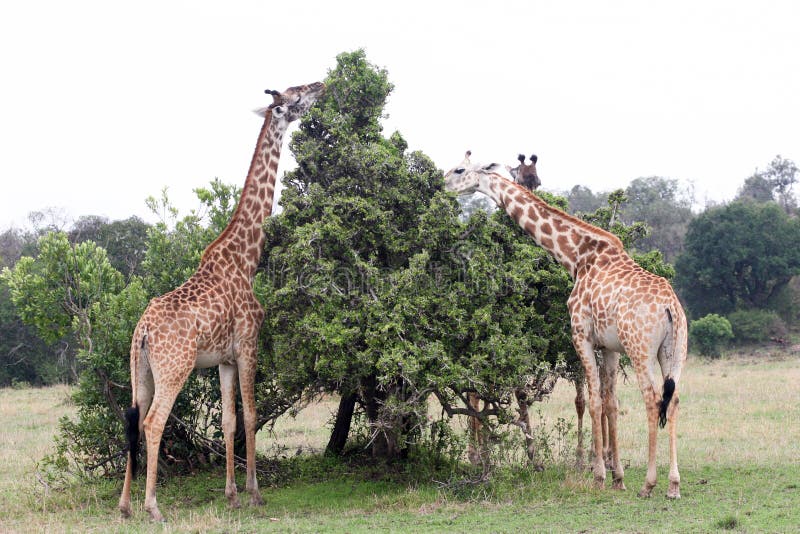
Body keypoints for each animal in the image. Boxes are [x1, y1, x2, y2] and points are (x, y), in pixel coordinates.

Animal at [117, 81, 324, 520]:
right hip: (174, 368)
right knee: (154, 422)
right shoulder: (248, 344)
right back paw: (152, 506)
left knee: (133, 419)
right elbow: (252, 416)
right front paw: (255, 492)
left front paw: (231, 494)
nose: (321, 85)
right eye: (296, 95)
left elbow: (229, 421)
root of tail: (142, 330)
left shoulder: (224, 359)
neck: (247, 258)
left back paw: (125, 505)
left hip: (140, 370)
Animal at [444, 153, 688, 500]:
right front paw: (617, 476)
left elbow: (594, 400)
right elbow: (611, 403)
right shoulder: (610, 346)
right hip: (674, 349)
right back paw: (673, 485)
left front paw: (599, 475)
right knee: (674, 398)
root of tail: (670, 308)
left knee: (653, 398)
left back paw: (649, 484)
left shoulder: (580, 335)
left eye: (460, 169)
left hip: (640, 349)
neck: (575, 257)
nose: (442, 184)